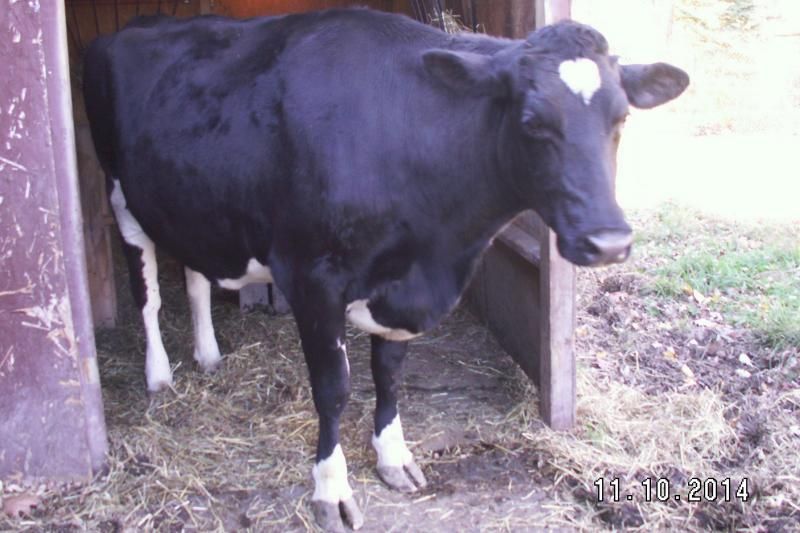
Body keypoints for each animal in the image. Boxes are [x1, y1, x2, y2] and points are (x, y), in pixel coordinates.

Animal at [83, 8, 688, 531]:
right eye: (532, 121)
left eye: (621, 118)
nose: (609, 241)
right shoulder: (312, 277)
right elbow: (333, 389)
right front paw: (331, 489)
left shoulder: (403, 287)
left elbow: (390, 375)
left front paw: (393, 457)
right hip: (119, 194)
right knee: (147, 291)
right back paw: (159, 374)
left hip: (190, 202)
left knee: (193, 274)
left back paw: (207, 354)